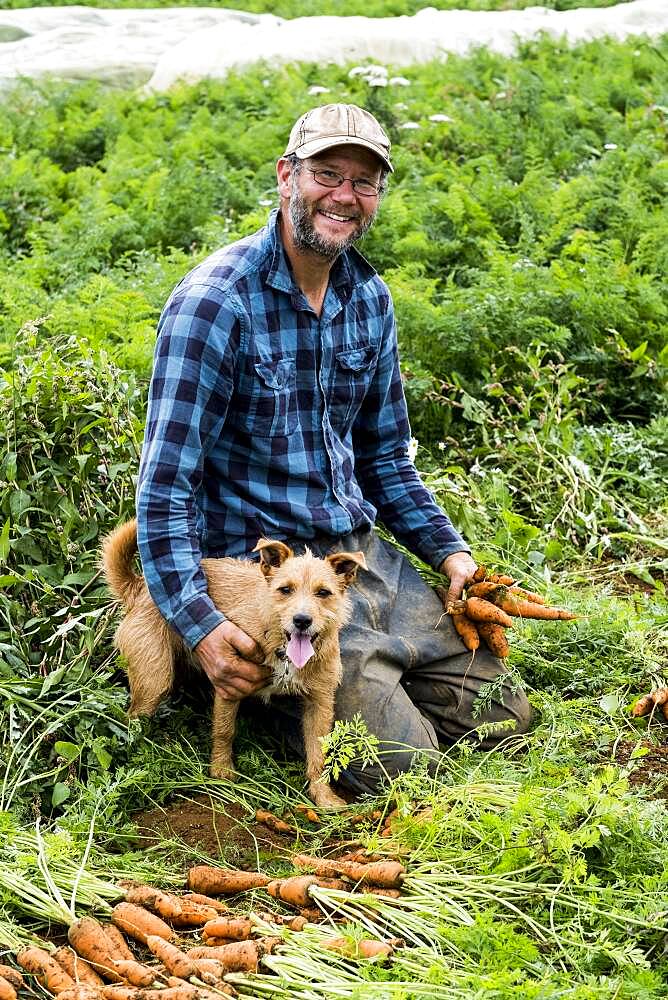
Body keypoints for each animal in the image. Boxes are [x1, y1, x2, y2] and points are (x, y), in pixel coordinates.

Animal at [102, 520, 368, 808]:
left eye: (323, 593)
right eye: (285, 590)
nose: (301, 620)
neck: (282, 651)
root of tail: (139, 586)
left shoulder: (319, 702)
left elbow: (320, 752)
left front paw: (323, 796)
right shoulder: (229, 682)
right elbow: (224, 730)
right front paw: (221, 774)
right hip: (154, 681)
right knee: (132, 722)